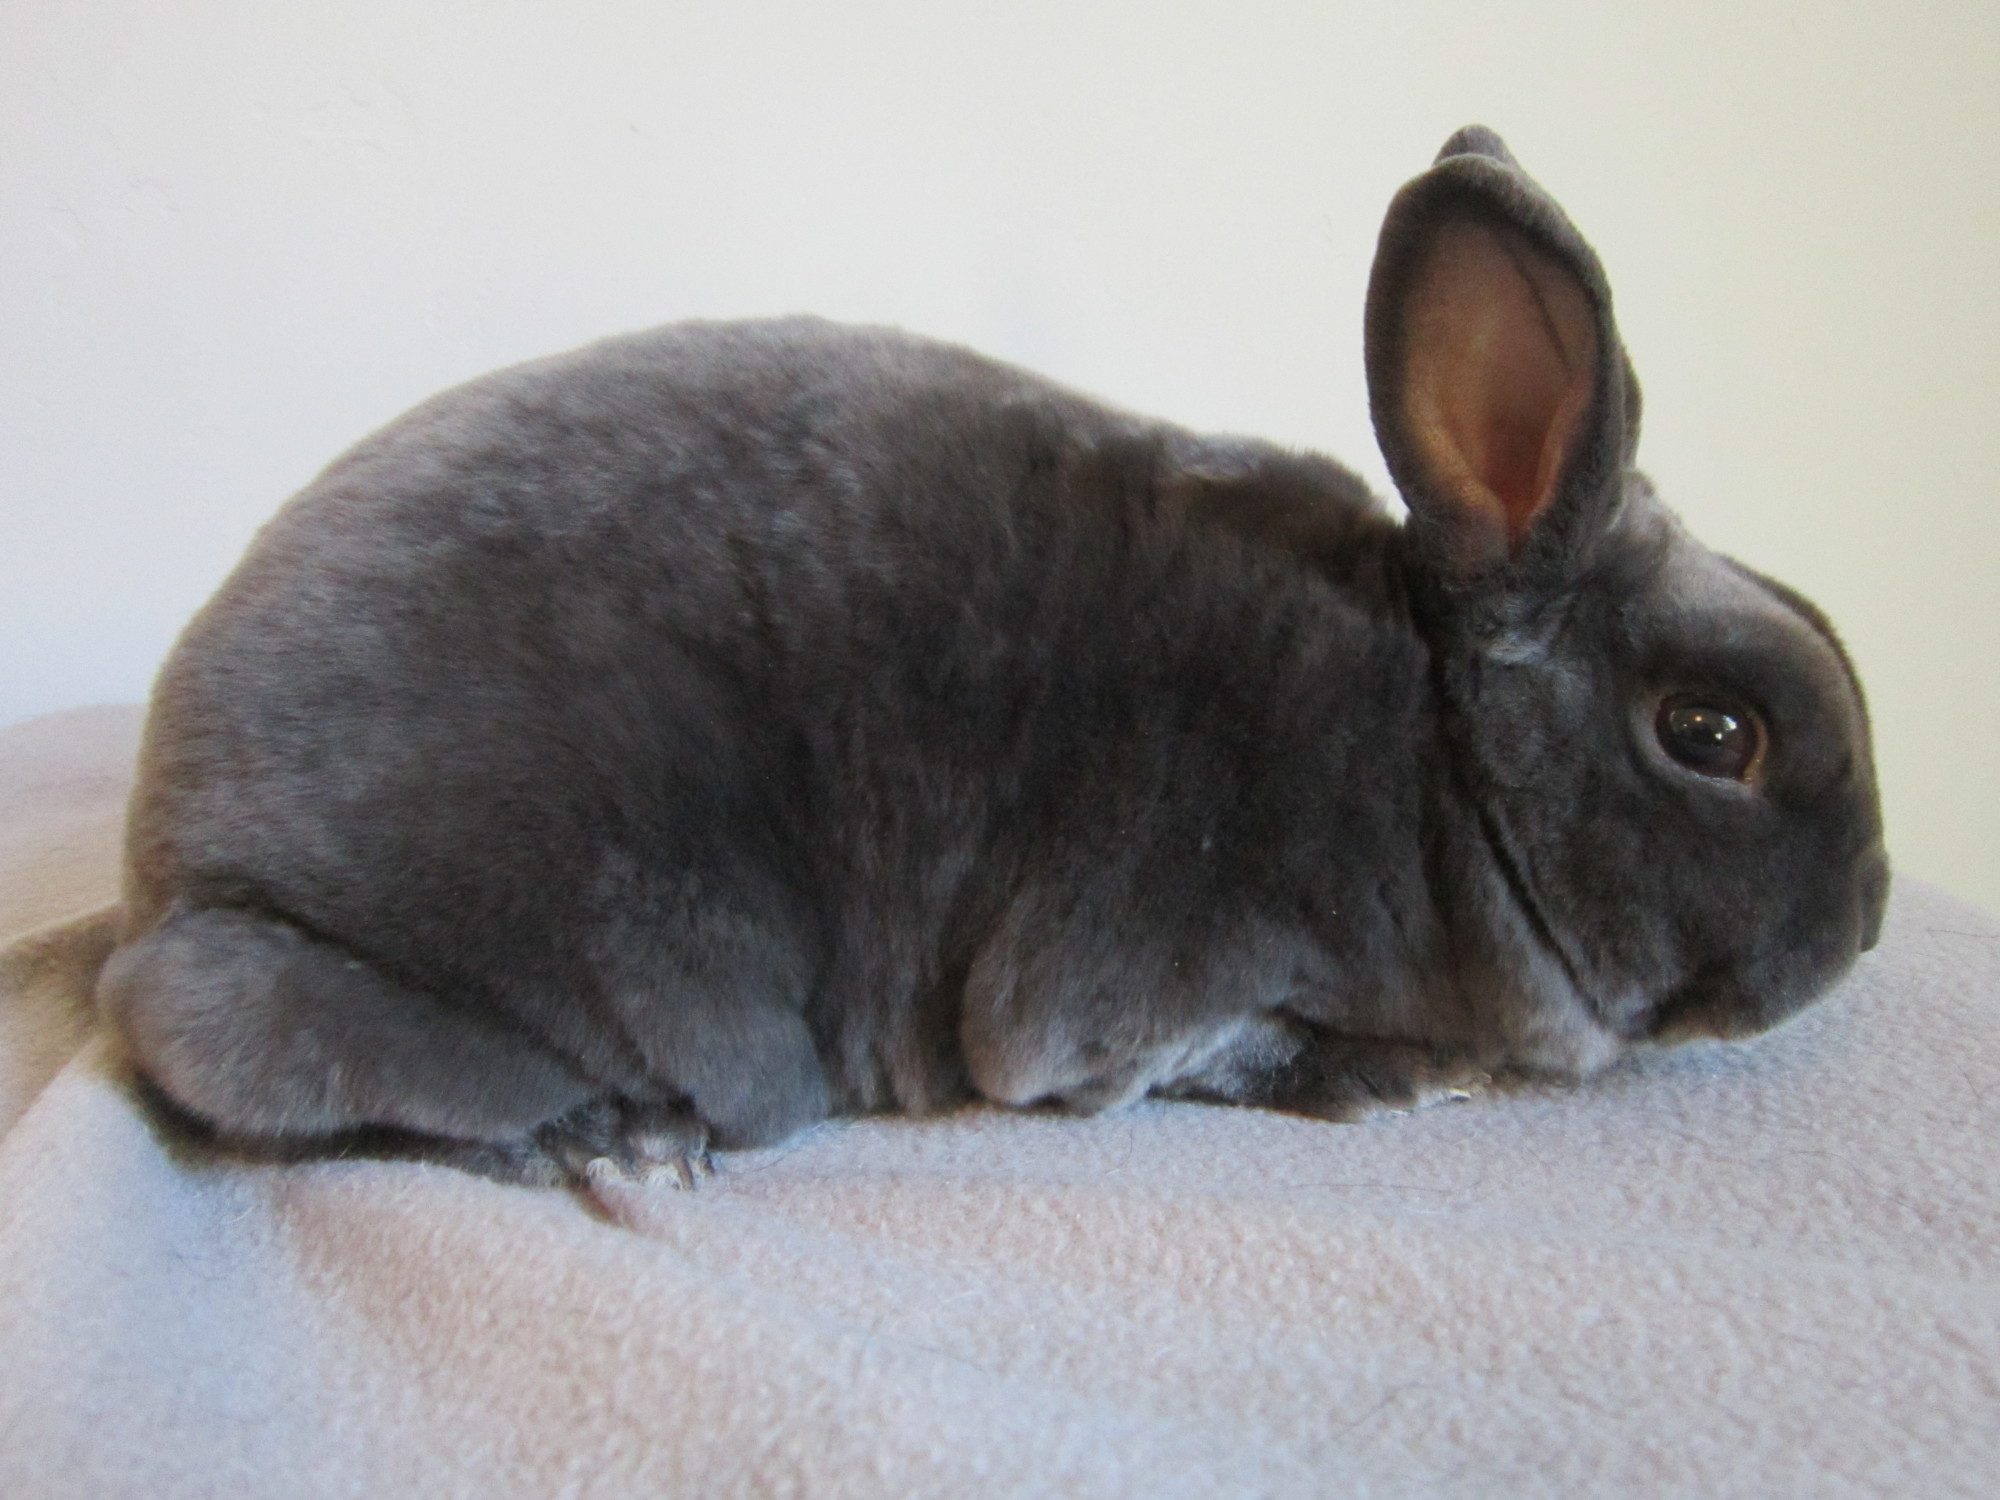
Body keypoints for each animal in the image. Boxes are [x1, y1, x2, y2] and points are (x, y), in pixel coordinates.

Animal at [96, 125, 1887, 1197]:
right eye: (1710, 732)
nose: (1868, 921)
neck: (1438, 756)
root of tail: (167, 866)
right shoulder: (1109, 991)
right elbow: (1201, 1053)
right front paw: (1395, 1081)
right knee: (243, 1056)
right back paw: (624, 1140)